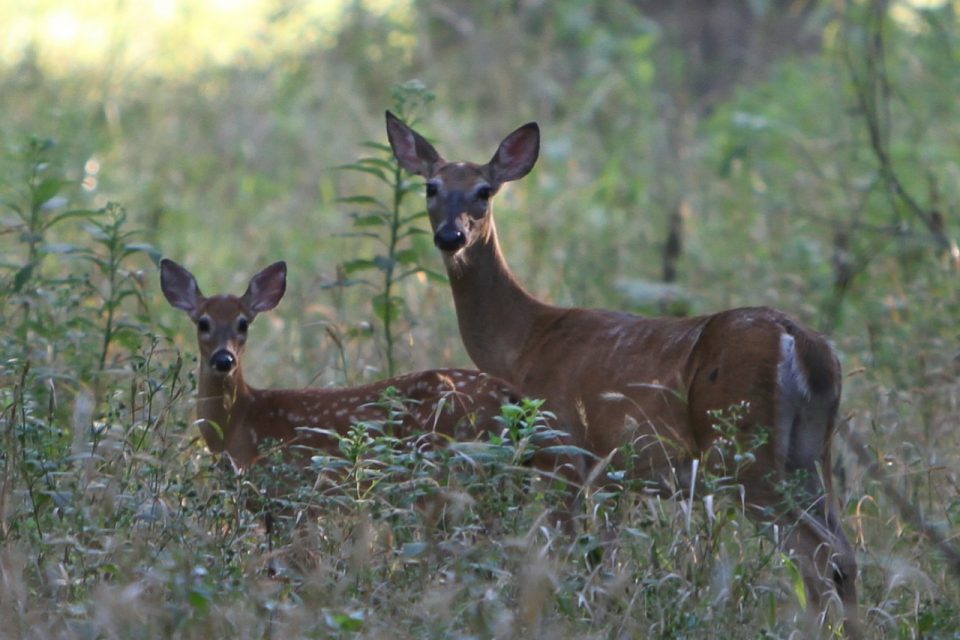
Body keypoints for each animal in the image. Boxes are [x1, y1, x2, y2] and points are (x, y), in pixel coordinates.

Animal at [386, 112, 860, 632]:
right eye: (430, 187)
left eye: (484, 191)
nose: (450, 236)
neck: (526, 341)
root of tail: (804, 346)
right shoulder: (616, 476)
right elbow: (605, 563)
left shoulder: (563, 452)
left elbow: (563, 557)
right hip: (809, 452)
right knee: (845, 554)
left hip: (741, 451)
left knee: (818, 553)